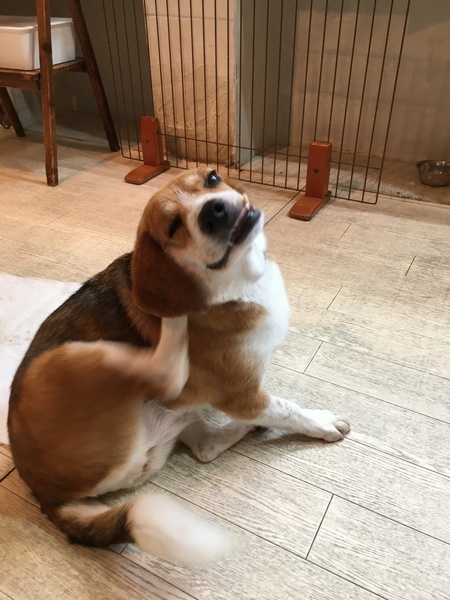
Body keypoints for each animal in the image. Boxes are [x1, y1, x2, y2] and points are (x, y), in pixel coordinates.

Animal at [8, 167, 350, 564]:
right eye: (173, 227)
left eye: (213, 178)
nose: (215, 210)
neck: (235, 284)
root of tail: (45, 495)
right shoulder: (242, 395)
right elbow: (289, 409)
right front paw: (322, 423)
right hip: (67, 360)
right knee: (166, 377)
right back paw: (175, 327)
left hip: (168, 422)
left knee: (205, 446)